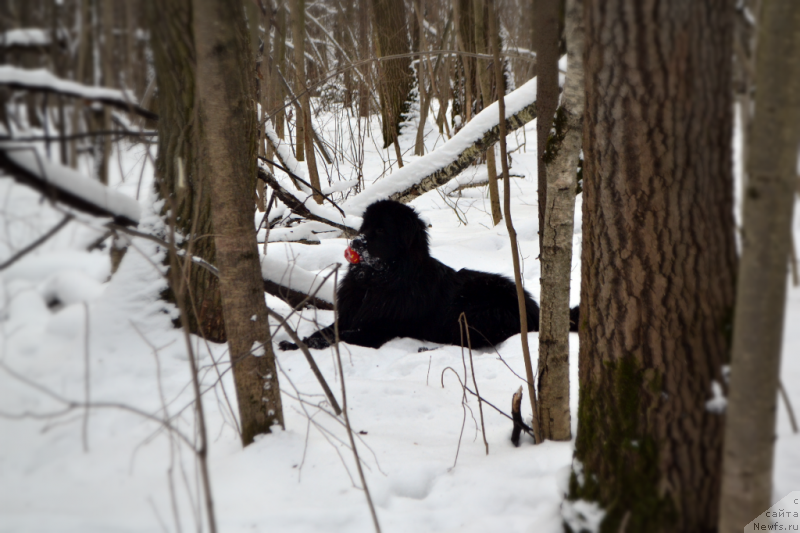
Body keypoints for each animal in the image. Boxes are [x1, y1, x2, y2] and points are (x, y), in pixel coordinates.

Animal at [278, 198, 580, 350]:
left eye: (381, 230)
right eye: (364, 226)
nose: (355, 243)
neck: (380, 281)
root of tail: (534, 309)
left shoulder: (378, 328)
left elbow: (338, 336)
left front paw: (304, 344)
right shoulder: (352, 314)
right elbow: (328, 329)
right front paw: (297, 342)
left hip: (473, 312)